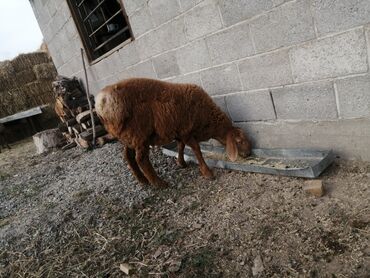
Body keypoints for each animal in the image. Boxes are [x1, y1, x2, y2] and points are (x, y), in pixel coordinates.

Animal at [95, 77, 251, 187]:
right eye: (239, 141)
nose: (249, 153)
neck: (207, 118)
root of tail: (101, 103)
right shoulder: (187, 130)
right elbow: (197, 150)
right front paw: (207, 173)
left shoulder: (180, 131)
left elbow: (180, 146)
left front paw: (181, 163)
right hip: (139, 133)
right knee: (141, 159)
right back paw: (159, 183)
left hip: (127, 135)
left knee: (128, 156)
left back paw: (142, 180)